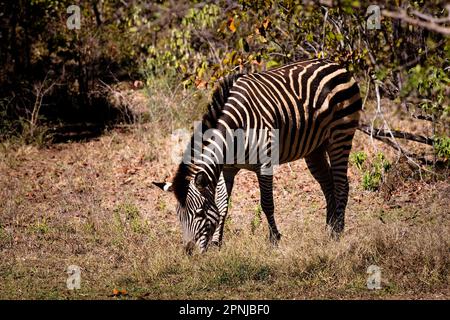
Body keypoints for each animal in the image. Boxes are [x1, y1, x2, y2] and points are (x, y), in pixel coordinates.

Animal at [154, 58, 362, 255]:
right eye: (179, 216)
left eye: (199, 213)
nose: (189, 253)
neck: (234, 131)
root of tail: (336, 64)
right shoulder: (226, 169)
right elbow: (222, 205)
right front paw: (217, 243)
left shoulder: (265, 164)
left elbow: (267, 203)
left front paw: (274, 240)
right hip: (315, 149)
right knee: (328, 185)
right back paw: (329, 229)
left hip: (340, 137)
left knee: (342, 185)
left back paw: (338, 232)